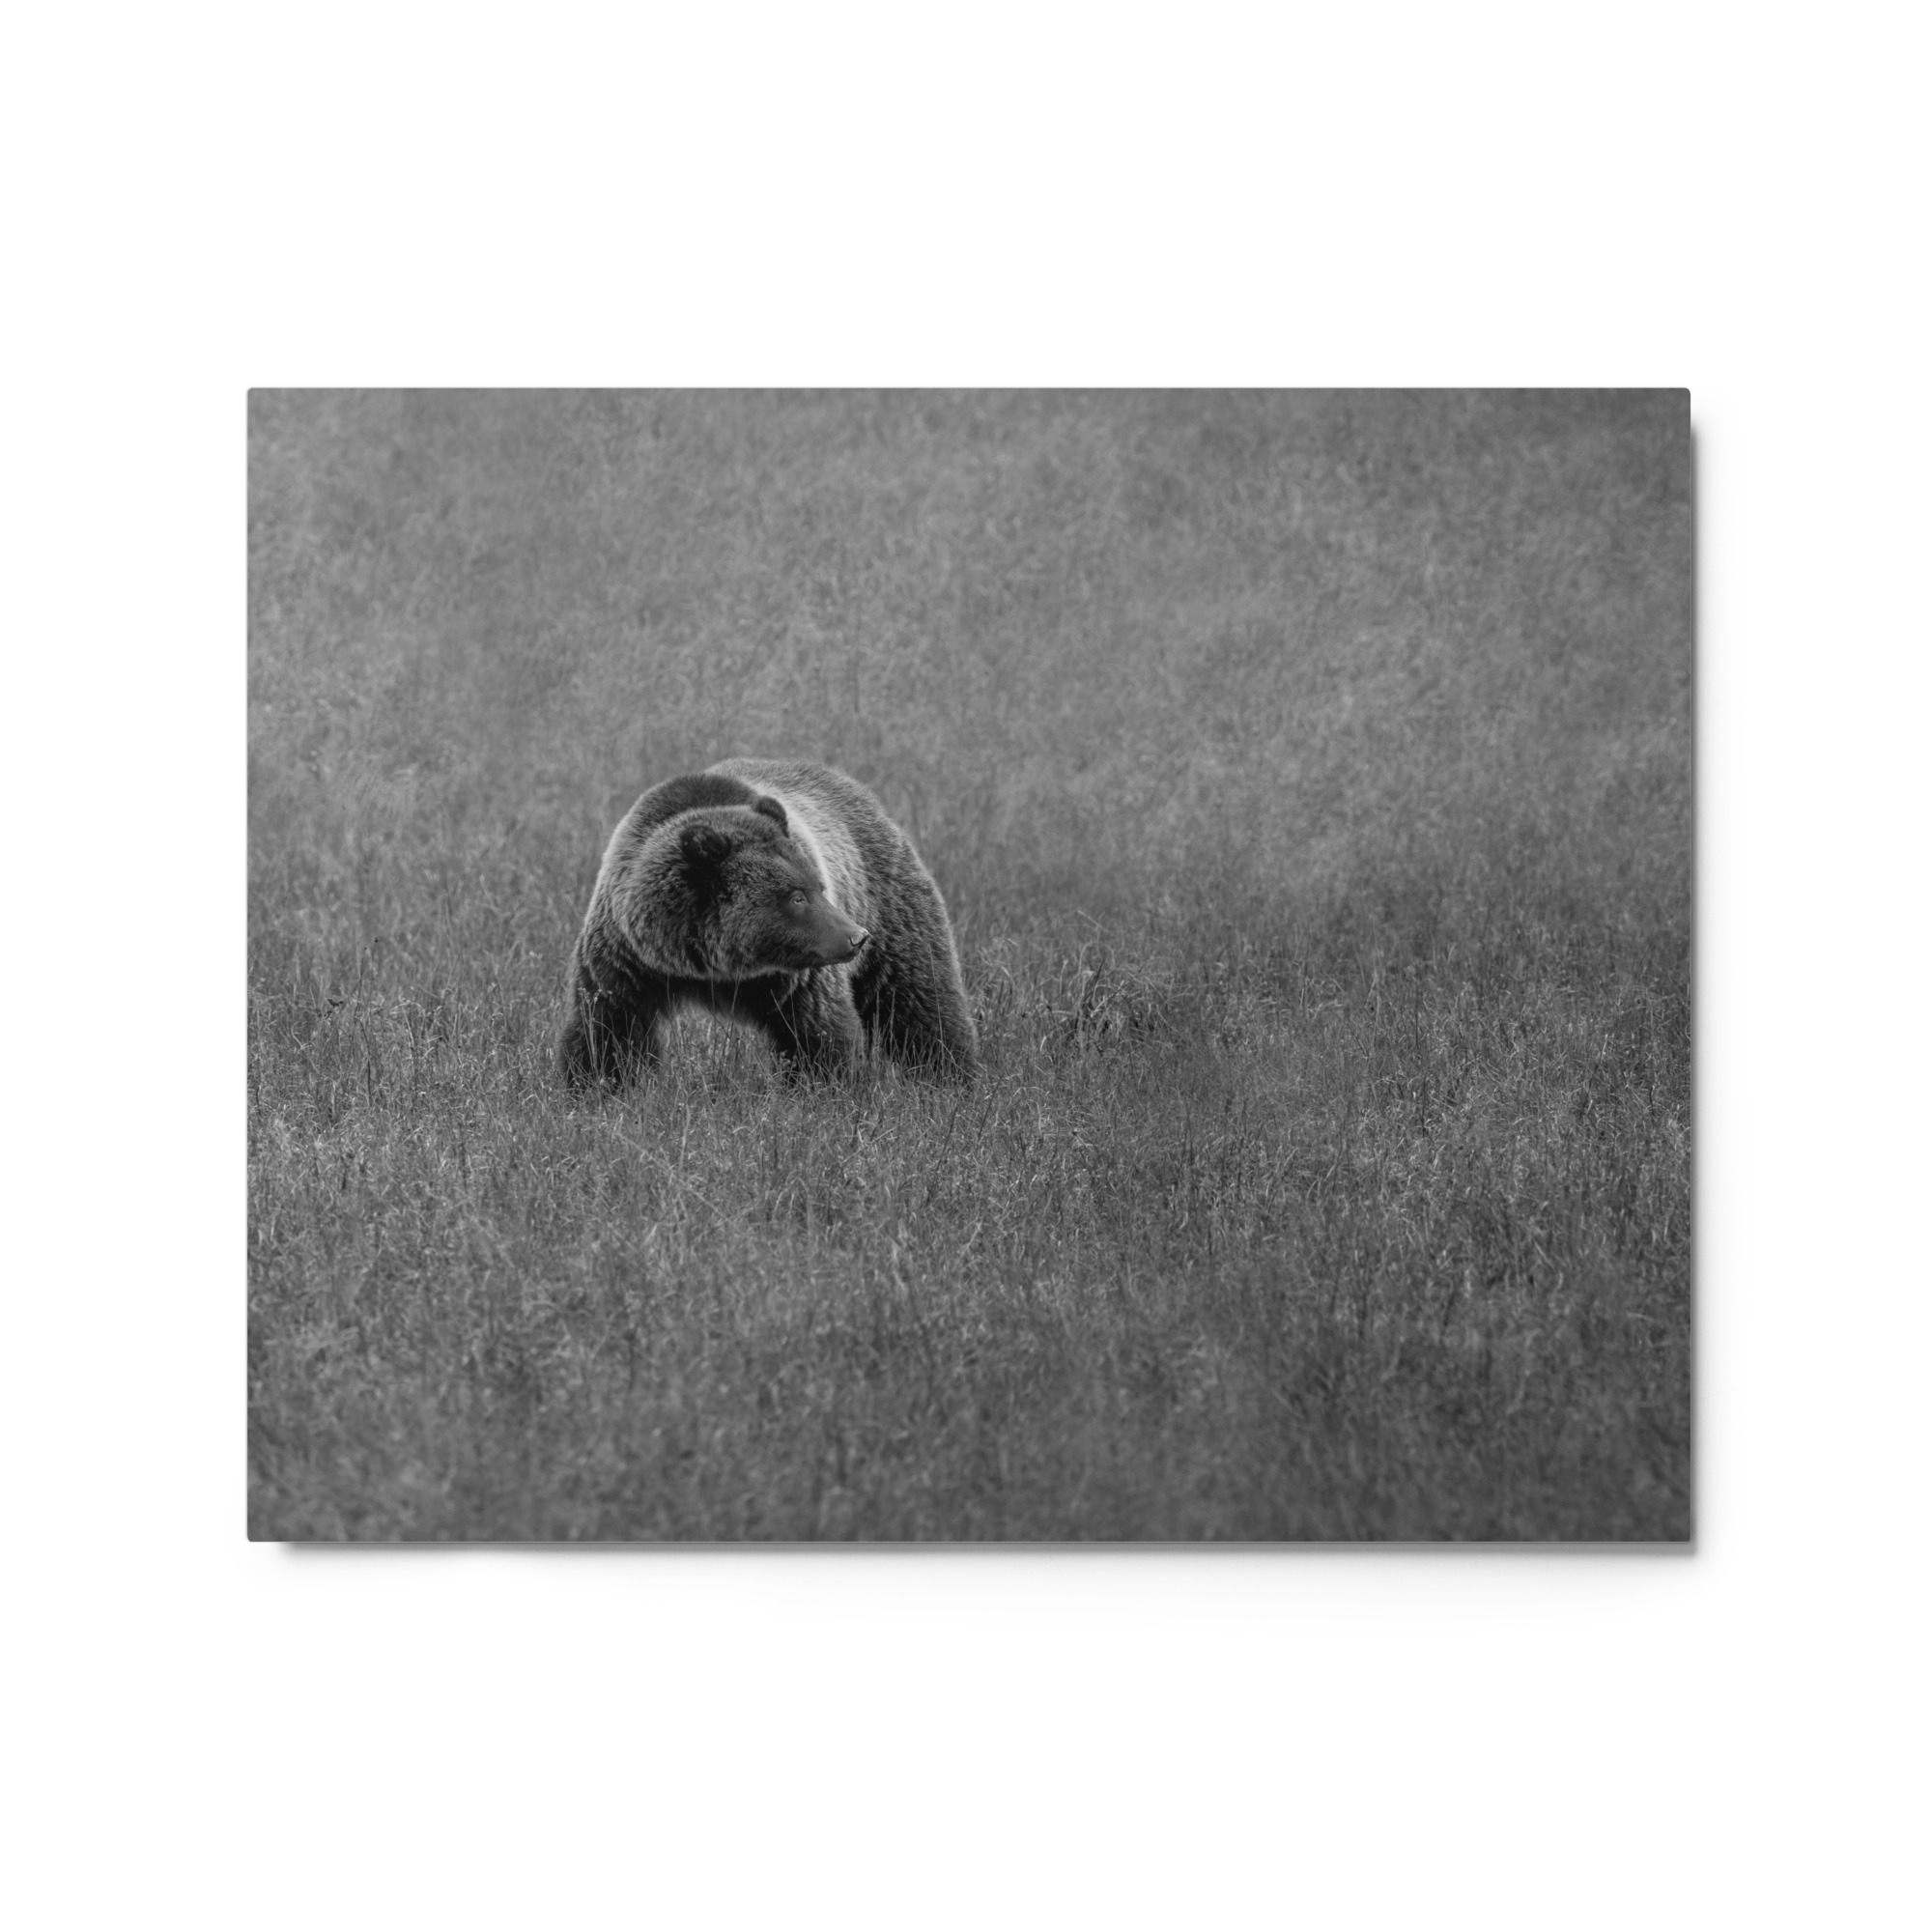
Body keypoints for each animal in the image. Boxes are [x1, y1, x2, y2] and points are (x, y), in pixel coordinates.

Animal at [559, 758, 977, 1089]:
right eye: (796, 896)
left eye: (819, 886)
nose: (856, 937)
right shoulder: (628, 959)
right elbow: (609, 1030)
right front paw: (597, 1088)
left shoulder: (798, 977)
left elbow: (818, 1034)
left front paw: (827, 1090)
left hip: (888, 903)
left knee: (919, 998)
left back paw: (952, 1079)